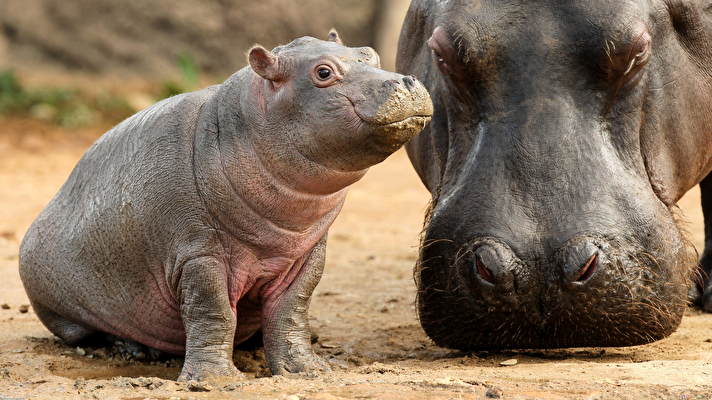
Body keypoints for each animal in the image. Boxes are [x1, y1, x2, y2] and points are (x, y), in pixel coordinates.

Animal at [18, 32, 428, 382]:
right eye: (323, 72)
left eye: (370, 54)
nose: (407, 82)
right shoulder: (198, 254)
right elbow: (212, 311)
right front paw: (215, 379)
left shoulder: (307, 253)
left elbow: (292, 311)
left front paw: (307, 370)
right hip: (63, 309)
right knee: (90, 333)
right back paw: (134, 351)